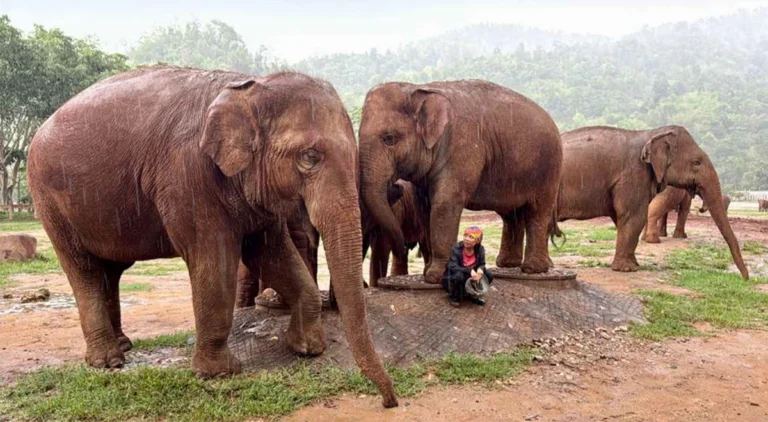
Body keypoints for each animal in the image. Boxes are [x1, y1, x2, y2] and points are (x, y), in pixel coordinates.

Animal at [27, 66, 398, 407]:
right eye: (310, 157)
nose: (389, 402)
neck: (249, 85)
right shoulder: (187, 176)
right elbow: (215, 261)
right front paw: (220, 373)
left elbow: (271, 253)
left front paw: (307, 348)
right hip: (49, 201)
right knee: (84, 269)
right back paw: (108, 361)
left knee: (111, 270)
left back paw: (123, 345)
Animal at [359, 80, 563, 285]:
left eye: (389, 138)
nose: (396, 186)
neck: (419, 89)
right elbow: (424, 207)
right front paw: (427, 274)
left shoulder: (462, 146)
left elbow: (445, 203)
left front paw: (435, 277)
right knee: (512, 214)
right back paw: (507, 264)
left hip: (548, 168)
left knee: (537, 211)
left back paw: (532, 269)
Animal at [556, 125, 748, 279]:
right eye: (696, 162)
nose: (745, 279)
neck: (652, 133)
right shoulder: (634, 175)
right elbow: (634, 216)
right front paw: (627, 269)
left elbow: (623, 219)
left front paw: (634, 264)